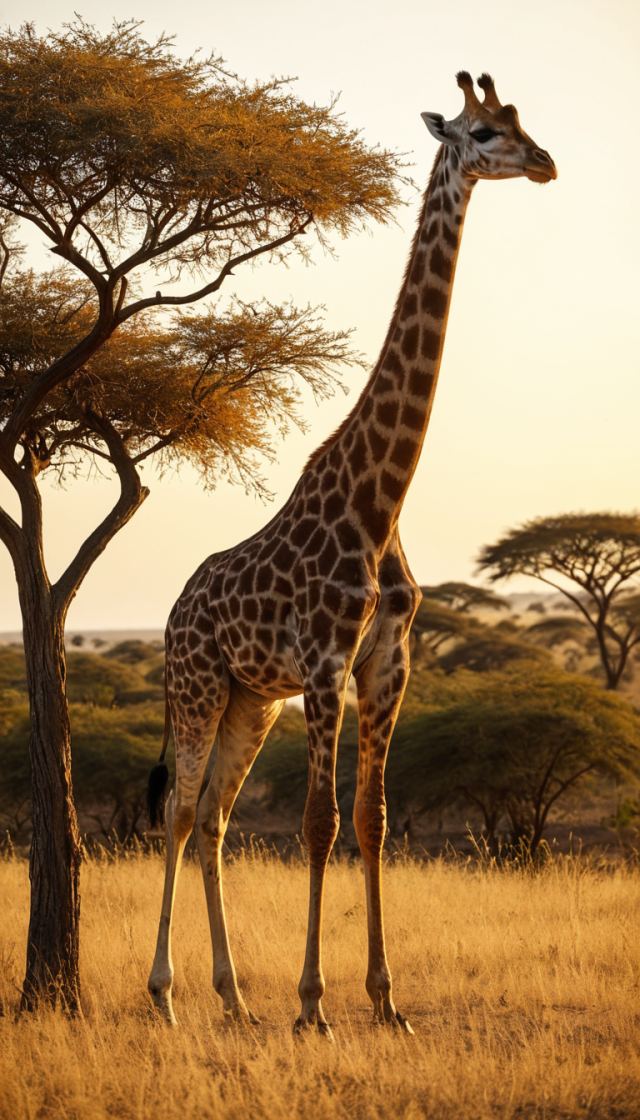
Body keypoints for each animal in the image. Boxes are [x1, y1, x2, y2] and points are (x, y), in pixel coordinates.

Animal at [147, 72, 556, 1036]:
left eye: (521, 121)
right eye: (486, 132)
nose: (547, 164)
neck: (383, 503)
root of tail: (175, 611)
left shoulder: (387, 662)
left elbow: (370, 818)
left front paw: (385, 999)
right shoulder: (326, 663)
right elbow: (318, 824)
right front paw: (312, 1005)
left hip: (250, 701)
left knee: (213, 818)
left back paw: (231, 998)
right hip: (199, 685)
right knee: (179, 810)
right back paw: (168, 994)